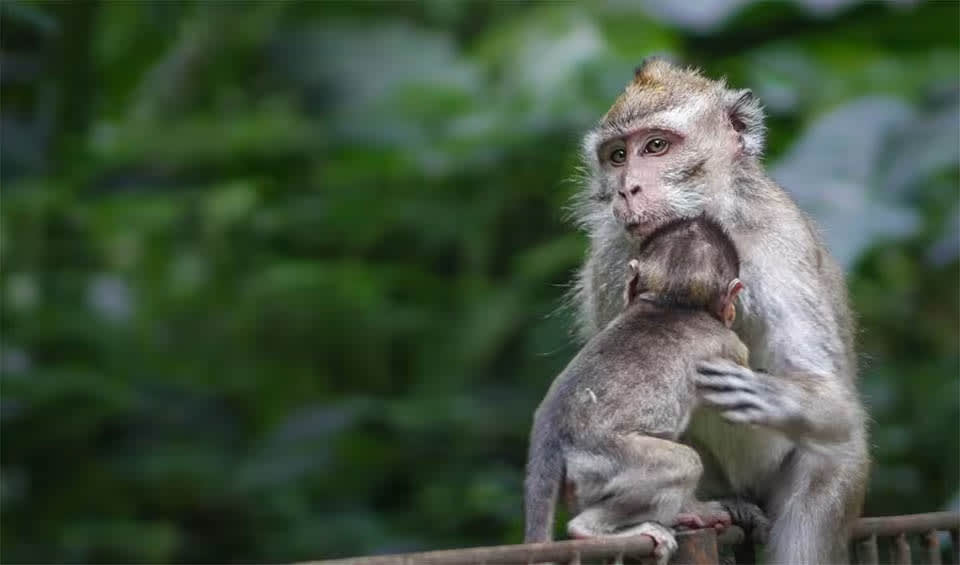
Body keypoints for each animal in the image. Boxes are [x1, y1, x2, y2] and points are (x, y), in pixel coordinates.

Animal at [524, 215, 750, 564]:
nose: (732, 313)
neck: (671, 304)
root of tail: (551, 427)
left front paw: (696, 511)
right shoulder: (729, 344)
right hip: (604, 460)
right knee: (683, 463)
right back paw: (588, 530)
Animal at [570, 57, 869, 564]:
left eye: (656, 146)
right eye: (617, 156)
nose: (627, 190)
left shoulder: (777, 246)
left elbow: (832, 402)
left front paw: (777, 395)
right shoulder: (612, 257)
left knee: (825, 466)